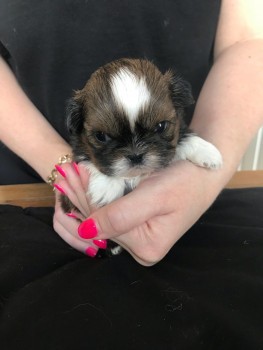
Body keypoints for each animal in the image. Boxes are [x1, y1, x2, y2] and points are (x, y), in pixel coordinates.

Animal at [63, 58, 223, 252]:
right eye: (101, 136)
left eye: (161, 126)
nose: (135, 155)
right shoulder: (79, 155)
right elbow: (89, 160)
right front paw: (106, 186)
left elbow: (184, 137)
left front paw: (207, 152)